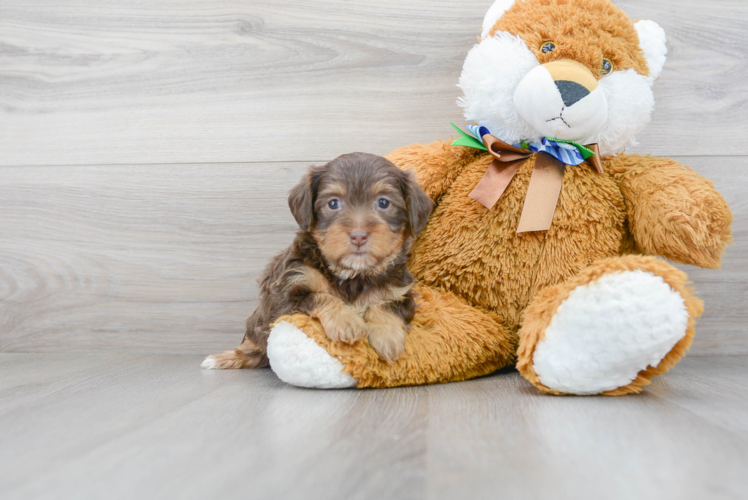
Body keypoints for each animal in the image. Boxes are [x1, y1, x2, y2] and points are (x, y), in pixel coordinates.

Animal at [202, 153, 432, 372]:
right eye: (333, 203)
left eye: (384, 203)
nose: (358, 236)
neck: (353, 274)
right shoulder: (286, 293)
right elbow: (320, 296)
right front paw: (346, 320)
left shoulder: (401, 292)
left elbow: (385, 305)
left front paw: (387, 337)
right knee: (253, 348)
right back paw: (224, 358)